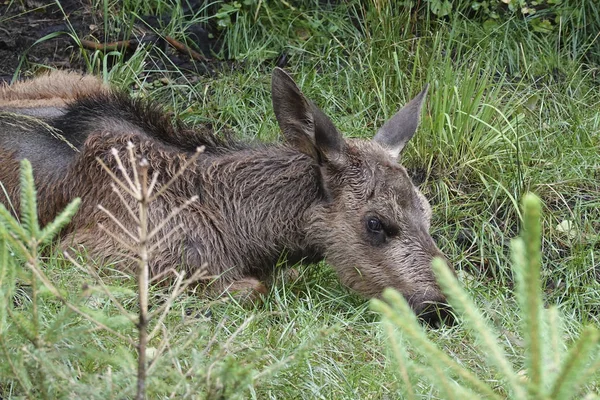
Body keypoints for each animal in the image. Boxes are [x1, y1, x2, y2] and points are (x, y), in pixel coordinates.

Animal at [0, 69, 452, 324]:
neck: (242, 233)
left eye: (428, 213)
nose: (442, 306)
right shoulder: (83, 255)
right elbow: (251, 289)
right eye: (376, 223)